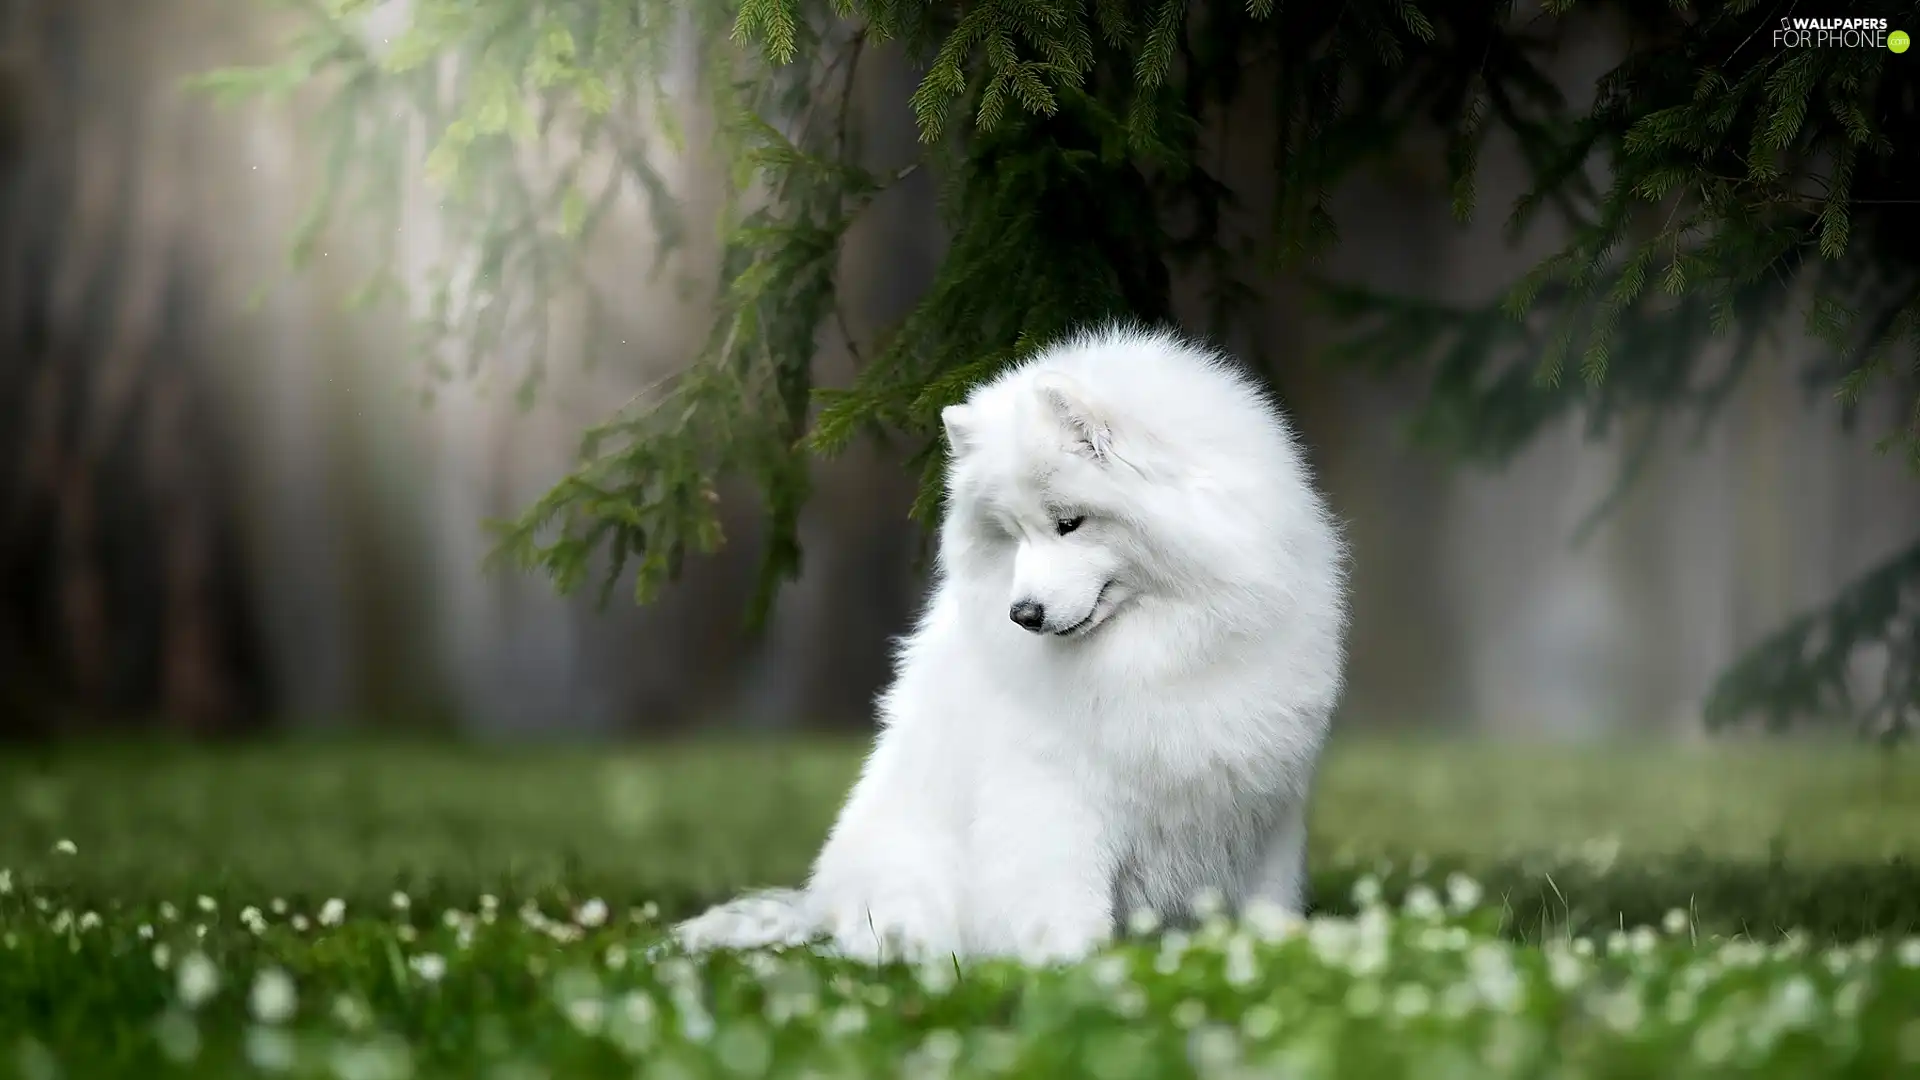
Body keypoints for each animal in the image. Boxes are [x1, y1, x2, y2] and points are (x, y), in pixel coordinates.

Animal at [675, 319, 1351, 957]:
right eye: (1012, 533)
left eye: (1069, 523)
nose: (1023, 614)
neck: (1165, 640)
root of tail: (818, 906)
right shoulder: (1055, 798)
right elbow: (1063, 904)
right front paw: (1075, 966)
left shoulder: (1263, 806)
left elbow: (1267, 900)